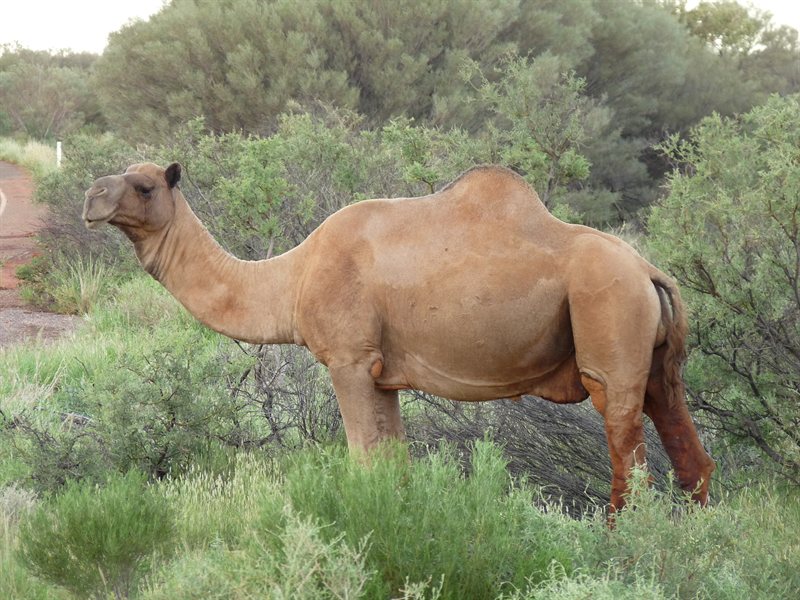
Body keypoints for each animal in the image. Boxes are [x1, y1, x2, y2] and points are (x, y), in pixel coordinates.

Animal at [83, 162, 715, 510]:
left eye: (144, 187)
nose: (92, 197)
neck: (294, 276)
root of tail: (649, 271)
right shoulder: (382, 375)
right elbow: (393, 466)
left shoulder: (348, 359)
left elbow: (366, 462)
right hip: (659, 360)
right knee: (689, 454)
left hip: (608, 322)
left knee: (629, 461)